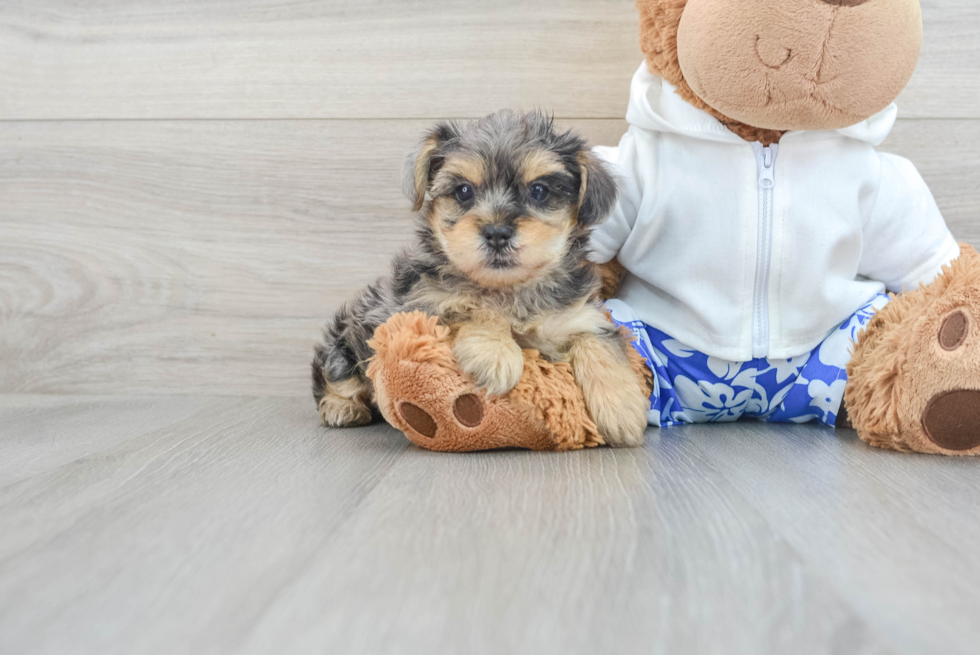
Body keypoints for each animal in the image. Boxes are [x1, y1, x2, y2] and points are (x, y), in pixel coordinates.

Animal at [314, 111, 652, 446]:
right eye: (464, 191)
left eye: (539, 191)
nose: (497, 232)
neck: (510, 289)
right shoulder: (424, 304)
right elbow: (473, 308)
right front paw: (495, 353)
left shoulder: (579, 315)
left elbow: (600, 343)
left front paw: (622, 408)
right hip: (349, 336)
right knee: (335, 372)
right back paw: (341, 407)